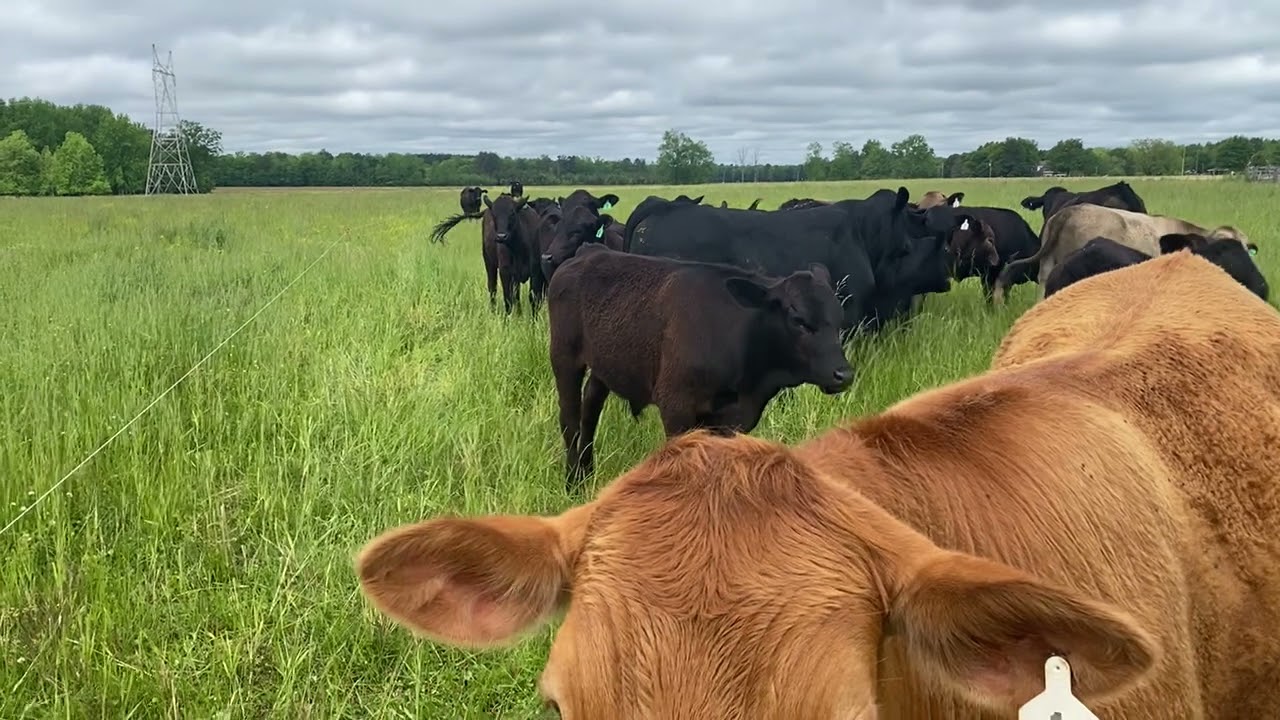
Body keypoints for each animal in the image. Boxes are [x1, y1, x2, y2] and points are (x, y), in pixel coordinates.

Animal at [545, 244, 853, 484]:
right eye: (799, 320)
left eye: (839, 319)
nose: (844, 374)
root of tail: (589, 252)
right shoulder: (676, 406)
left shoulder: (730, 421)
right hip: (564, 357)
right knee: (570, 417)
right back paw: (573, 482)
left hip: (605, 365)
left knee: (590, 408)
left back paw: (587, 473)